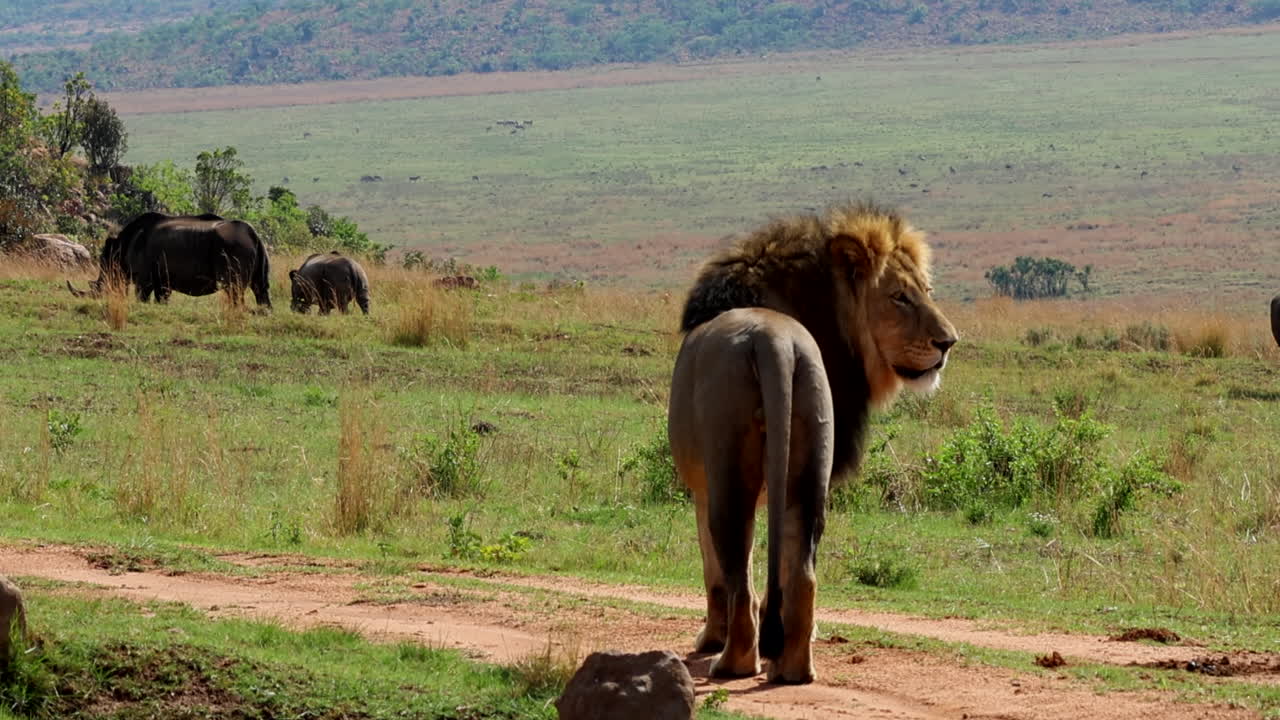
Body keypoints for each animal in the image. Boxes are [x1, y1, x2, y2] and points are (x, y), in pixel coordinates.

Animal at [67, 212, 271, 307]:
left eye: (103, 280)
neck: (120, 248)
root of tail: (254, 236)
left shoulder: (144, 279)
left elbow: (142, 297)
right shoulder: (162, 280)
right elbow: (161, 300)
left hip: (234, 247)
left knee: (234, 289)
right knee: (259, 288)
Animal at [667, 201, 957, 684]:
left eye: (926, 291)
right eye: (901, 297)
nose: (948, 342)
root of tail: (774, 341)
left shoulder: (701, 488)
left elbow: (713, 571)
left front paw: (710, 636)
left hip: (729, 475)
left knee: (738, 573)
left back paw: (732, 661)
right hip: (808, 467)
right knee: (803, 573)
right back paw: (794, 666)